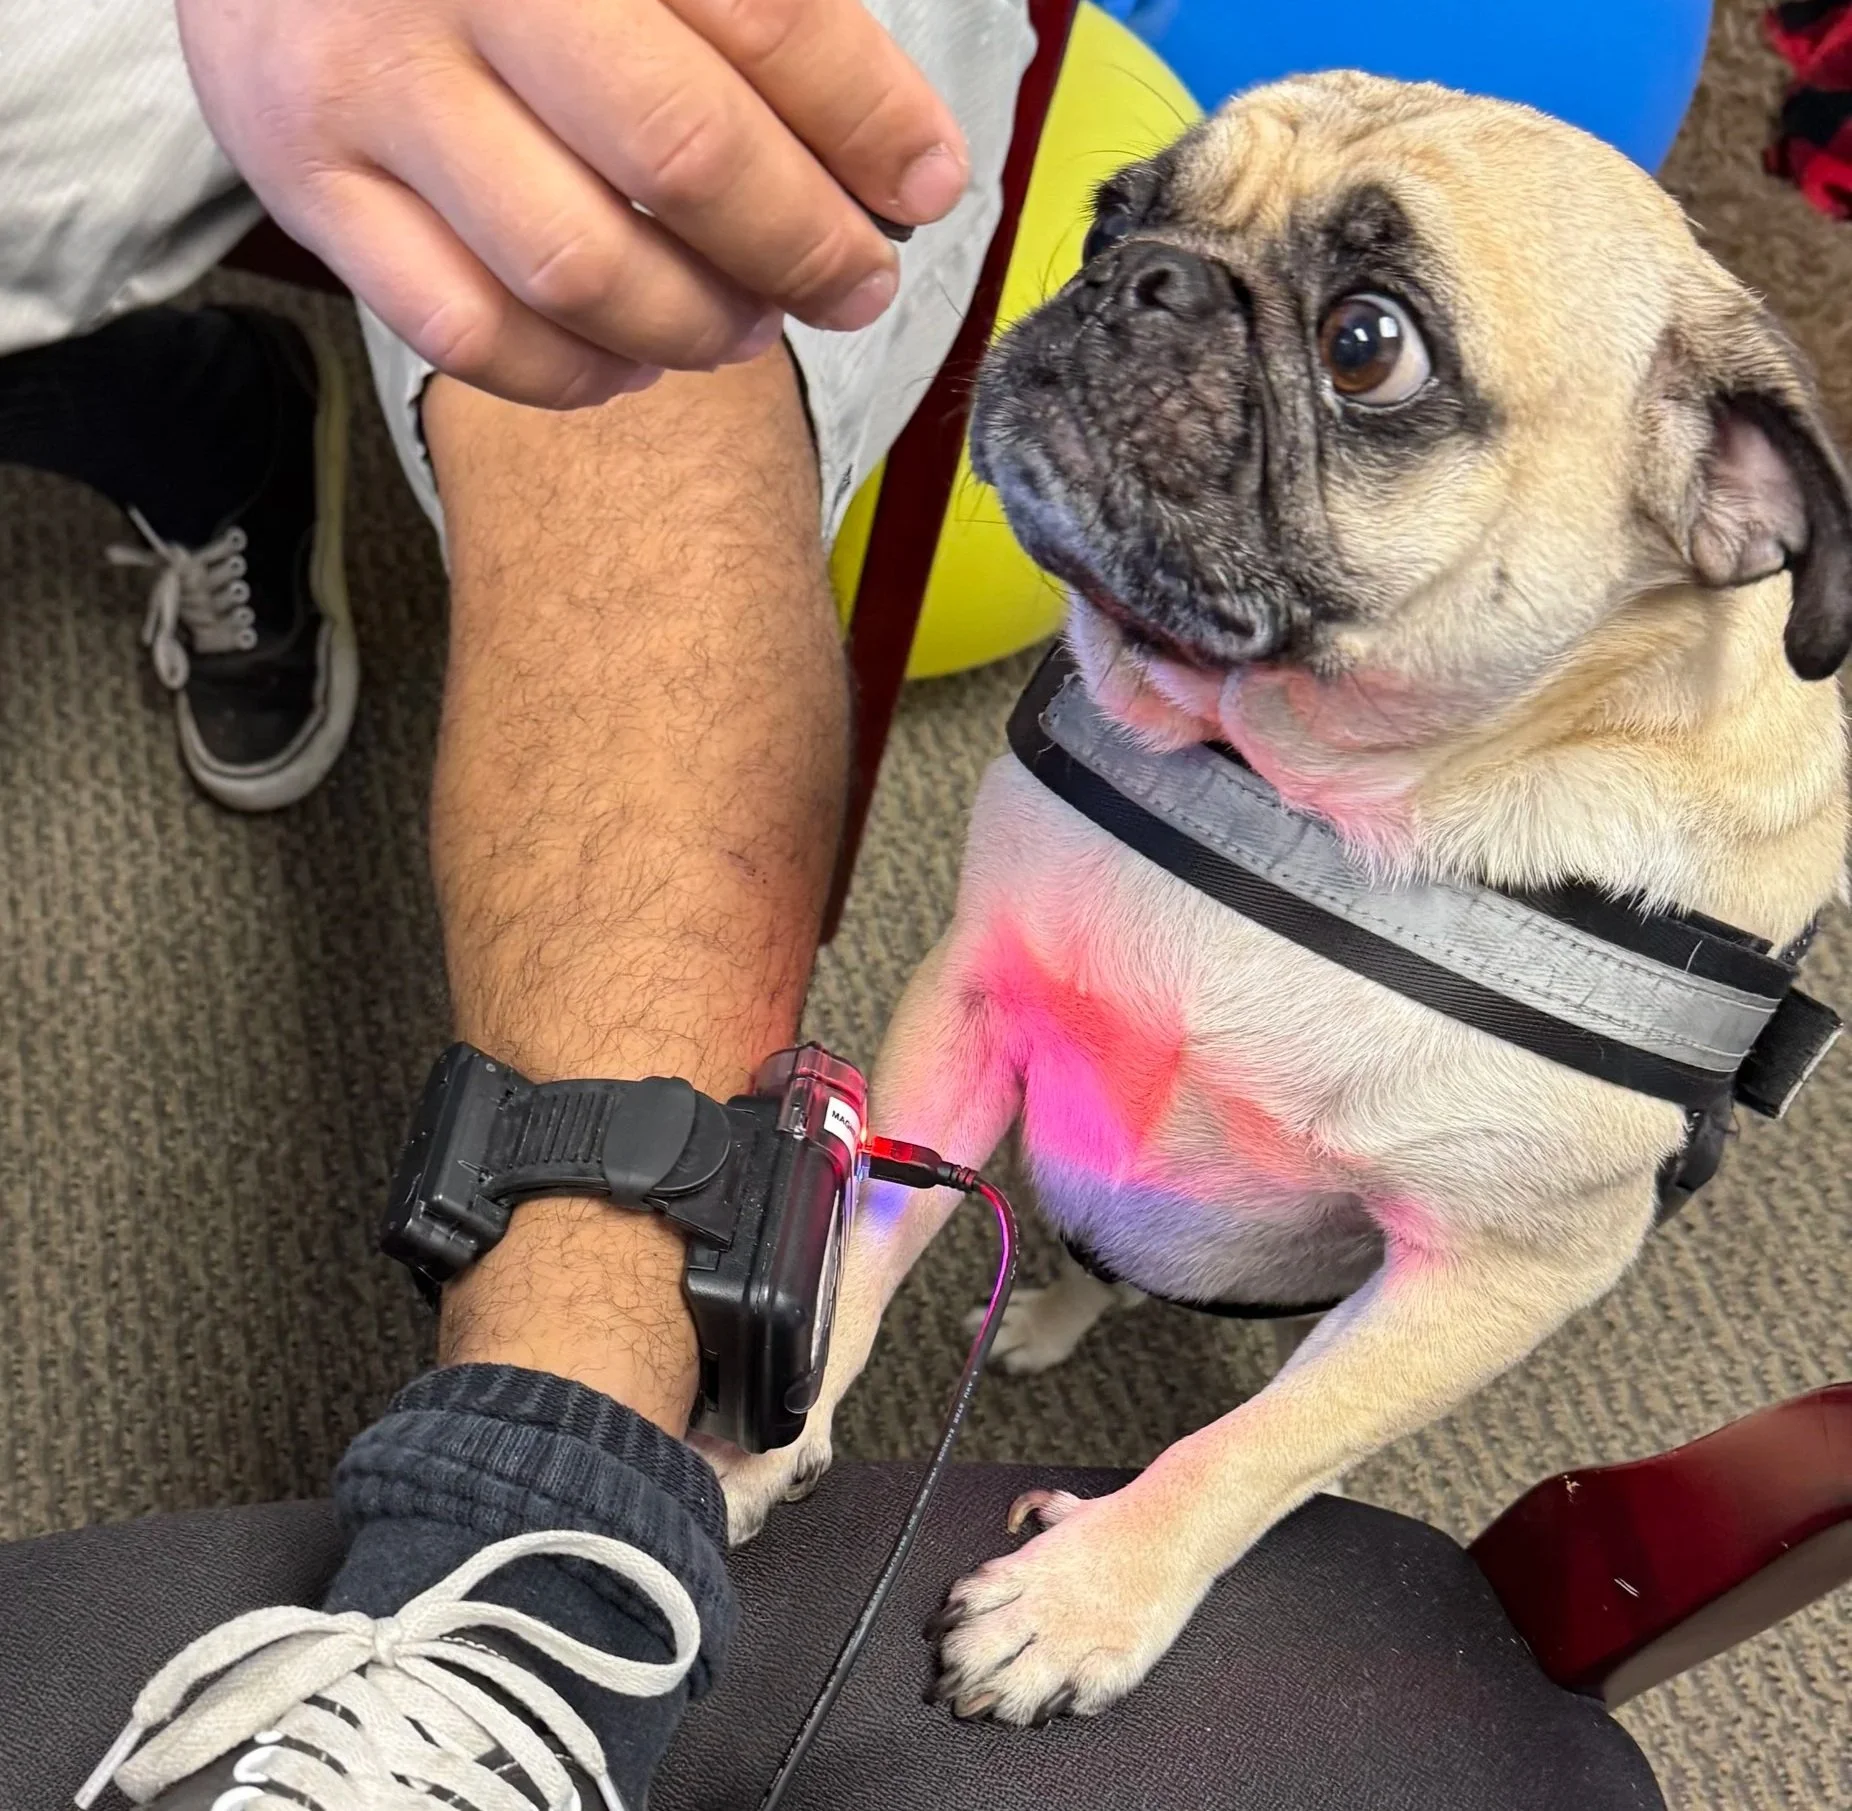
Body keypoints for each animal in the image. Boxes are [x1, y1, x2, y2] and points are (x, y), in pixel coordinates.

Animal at [706, 72, 1852, 1725]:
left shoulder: (1499, 1277)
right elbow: (858, 1228)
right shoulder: (970, 1001)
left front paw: (1079, 1600)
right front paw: (772, 1431)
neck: (1309, 796)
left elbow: (1259, 1450)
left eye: (1367, 343)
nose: (1137, 277)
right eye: (1112, 212)